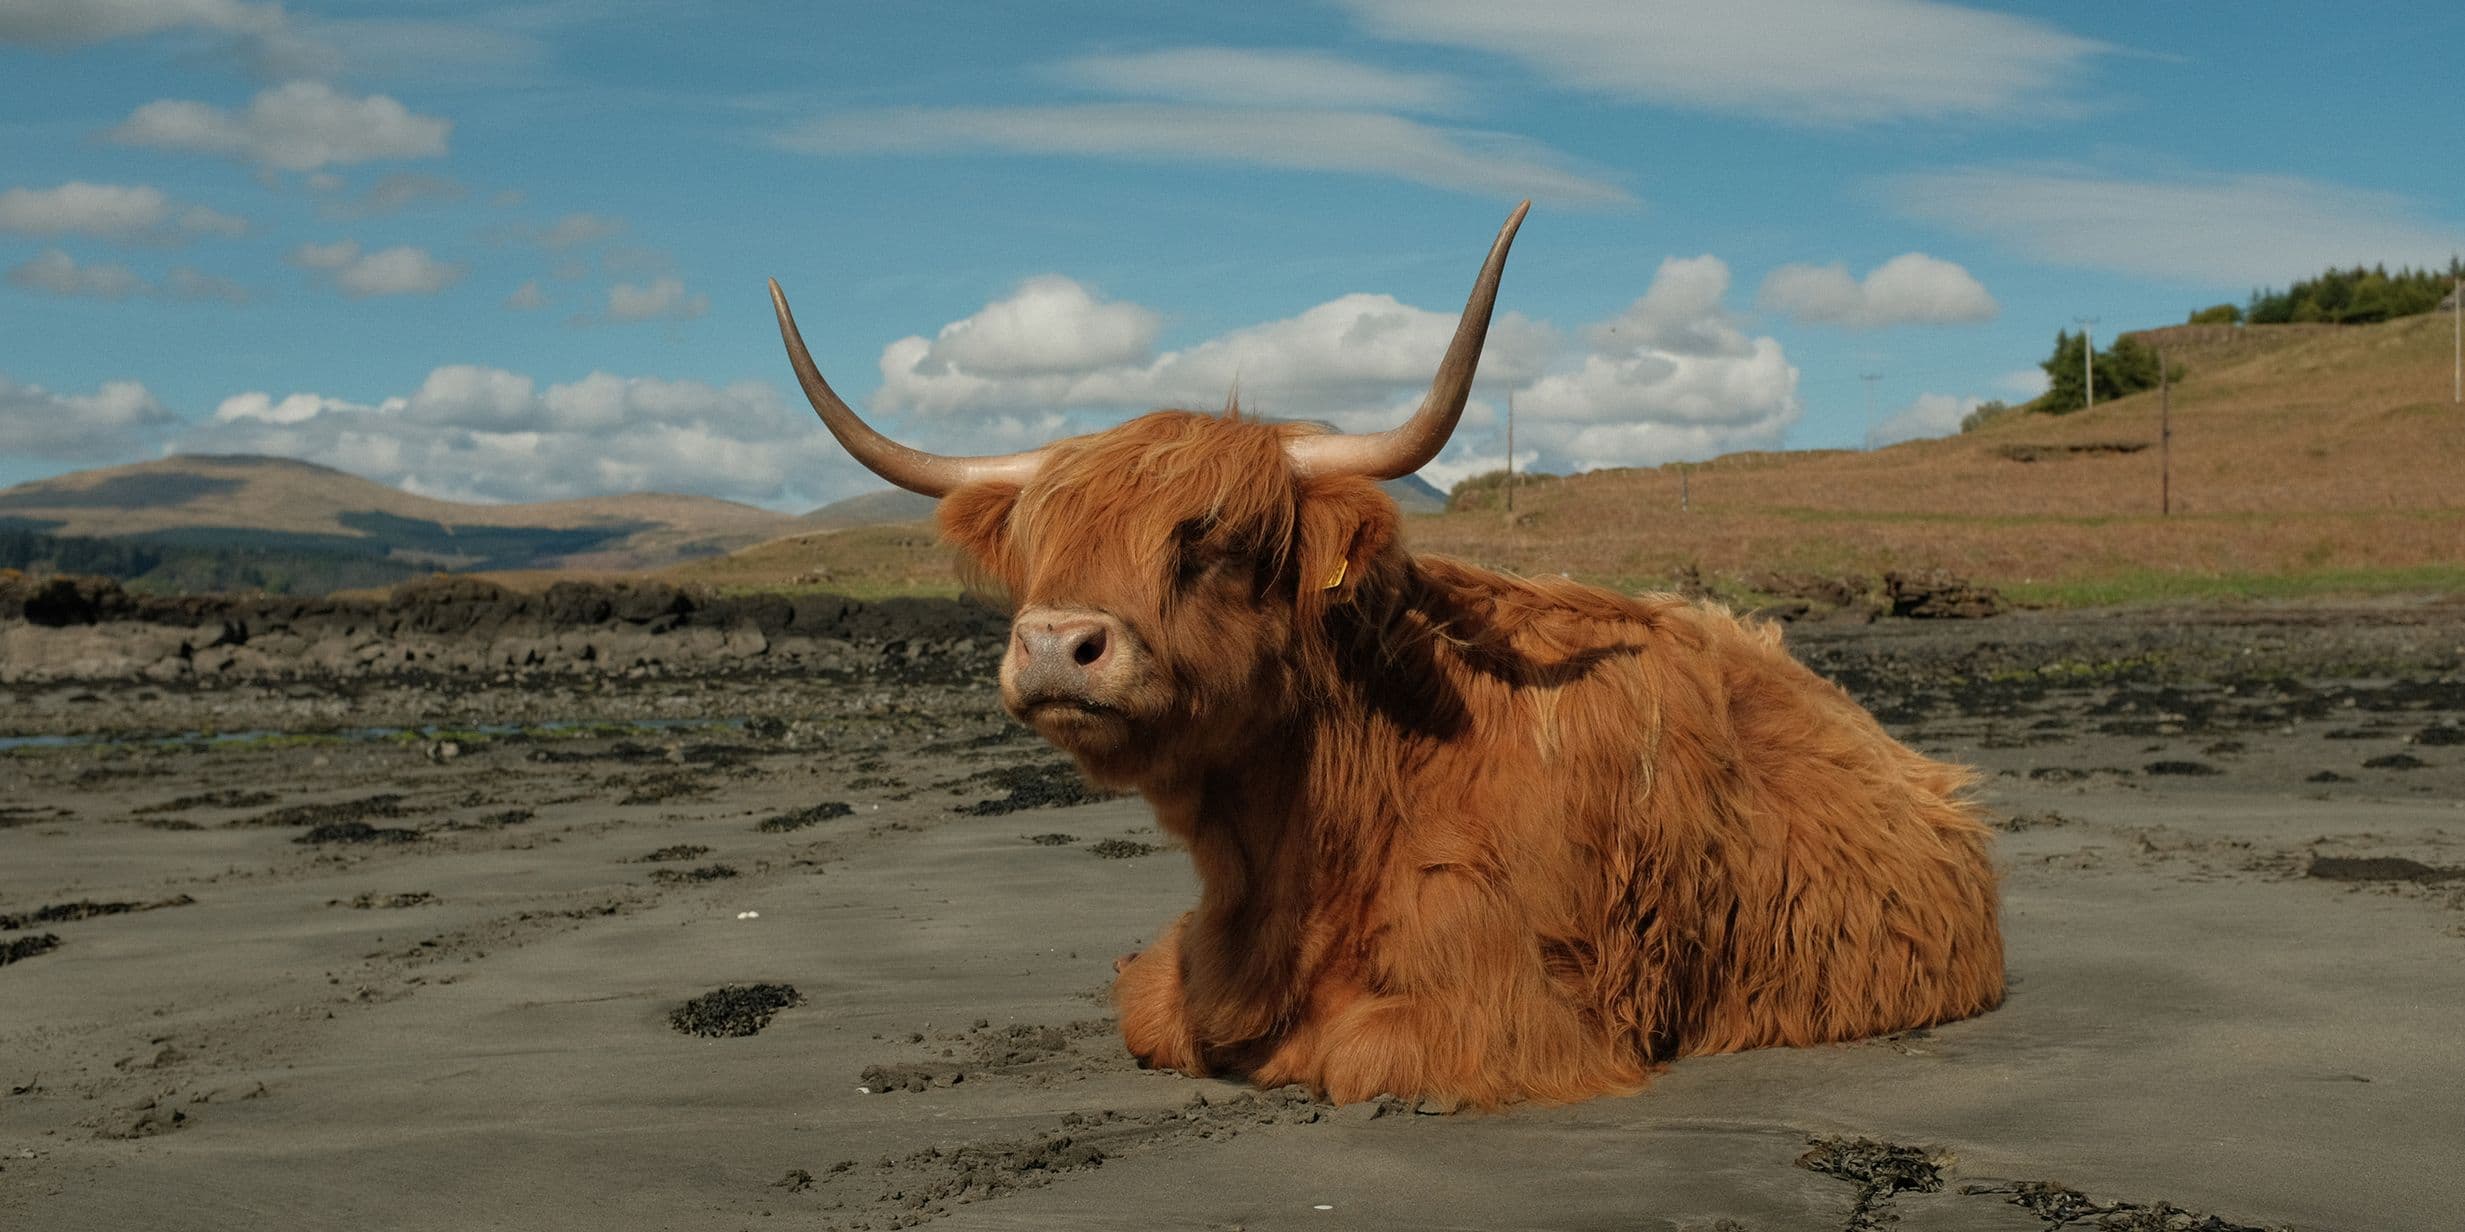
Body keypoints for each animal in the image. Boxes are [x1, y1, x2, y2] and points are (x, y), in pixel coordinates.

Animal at [767, 203, 2004, 1109]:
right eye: (1038, 546)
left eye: (1211, 540)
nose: (1055, 646)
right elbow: (1148, 1010)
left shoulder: (1507, 1013)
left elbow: (1344, 1050)